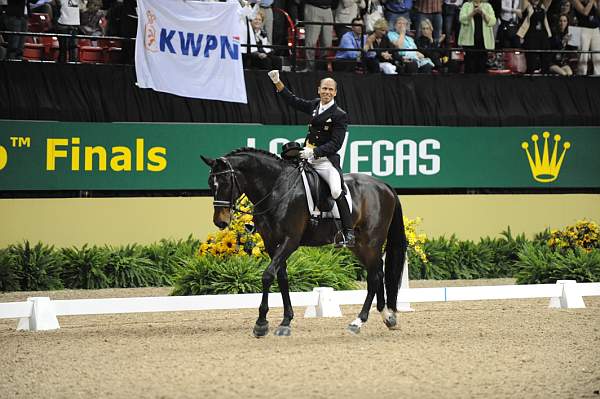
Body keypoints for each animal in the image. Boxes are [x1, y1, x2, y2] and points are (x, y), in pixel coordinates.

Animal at [202, 148, 408, 340]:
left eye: (226, 183)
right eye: (210, 184)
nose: (220, 222)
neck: (276, 189)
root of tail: (384, 185)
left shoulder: (290, 241)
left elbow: (268, 275)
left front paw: (261, 324)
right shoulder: (271, 243)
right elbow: (282, 277)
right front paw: (285, 321)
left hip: (370, 242)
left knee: (374, 277)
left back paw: (358, 322)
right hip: (358, 246)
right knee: (378, 272)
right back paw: (387, 317)